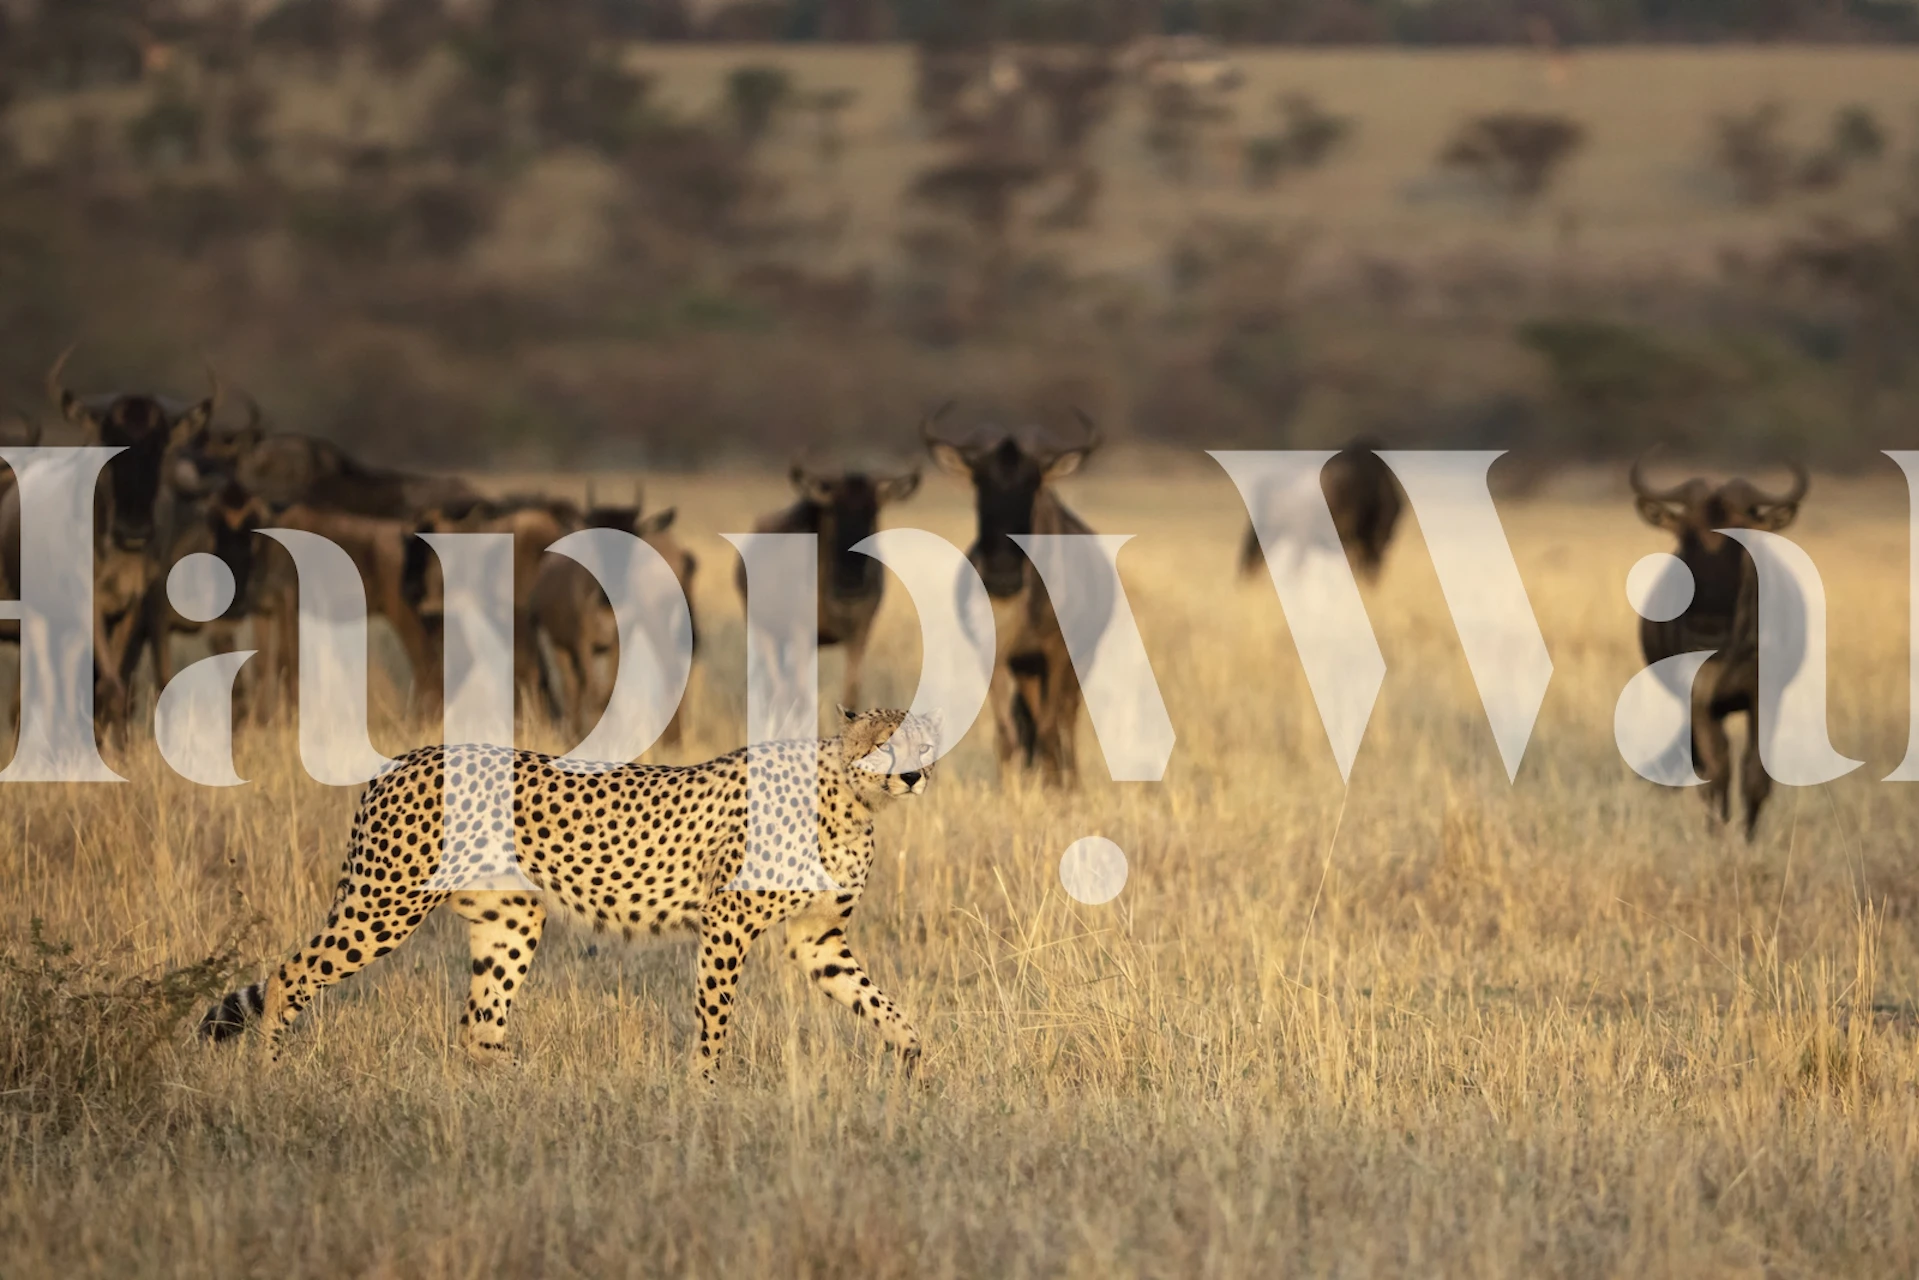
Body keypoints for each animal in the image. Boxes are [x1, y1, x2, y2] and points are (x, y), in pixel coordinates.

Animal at [201, 707, 939, 1080]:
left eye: (922, 745)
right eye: (883, 745)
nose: (913, 777)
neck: (851, 800)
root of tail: (404, 758)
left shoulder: (818, 939)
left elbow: (881, 1006)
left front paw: (914, 1064)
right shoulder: (726, 923)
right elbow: (713, 1020)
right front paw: (706, 1094)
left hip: (511, 918)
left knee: (479, 1027)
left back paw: (527, 1095)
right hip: (386, 905)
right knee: (287, 978)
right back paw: (272, 1077)